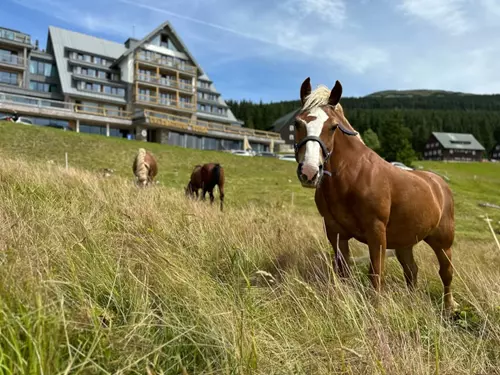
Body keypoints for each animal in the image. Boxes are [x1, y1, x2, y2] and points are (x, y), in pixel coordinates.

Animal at [296, 78, 458, 314]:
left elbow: (376, 274)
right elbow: (344, 272)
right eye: (297, 123)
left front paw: (377, 310)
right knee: (412, 270)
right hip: (404, 242)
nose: (309, 172)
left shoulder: (376, 232)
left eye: (333, 127)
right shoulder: (335, 232)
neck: (353, 176)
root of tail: (439, 184)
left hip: (442, 242)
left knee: (446, 273)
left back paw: (448, 308)